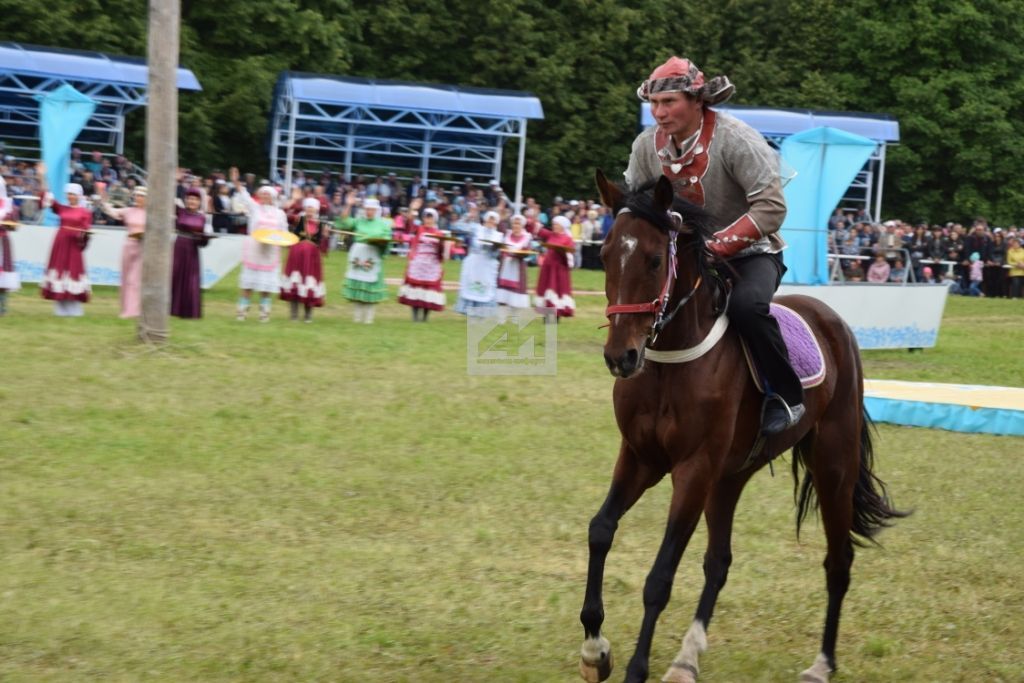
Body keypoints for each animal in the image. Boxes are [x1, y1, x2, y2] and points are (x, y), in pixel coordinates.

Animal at [581, 172, 909, 683]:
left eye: (654, 259)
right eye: (606, 254)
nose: (621, 356)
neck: (670, 361)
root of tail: (833, 321)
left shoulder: (692, 471)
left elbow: (660, 577)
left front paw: (636, 666)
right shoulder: (640, 458)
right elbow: (601, 530)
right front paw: (596, 648)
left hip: (832, 464)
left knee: (839, 561)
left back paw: (822, 663)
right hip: (729, 478)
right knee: (719, 561)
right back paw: (687, 657)